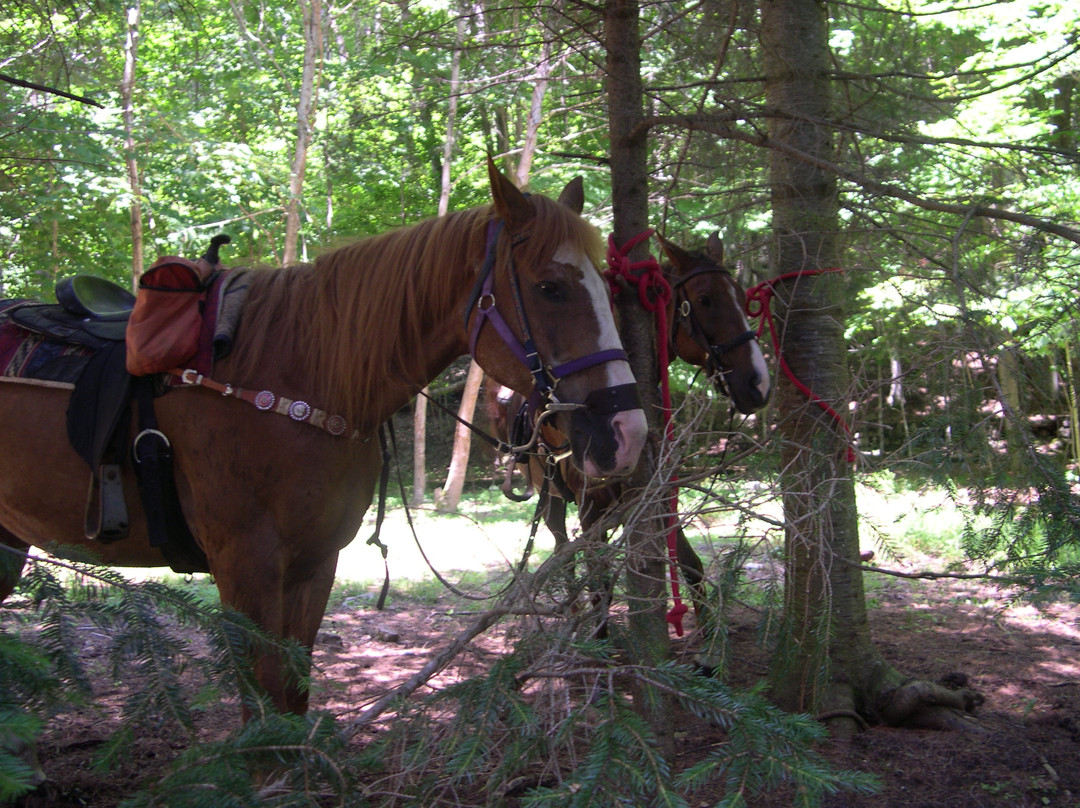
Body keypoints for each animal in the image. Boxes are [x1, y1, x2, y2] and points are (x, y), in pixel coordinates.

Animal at [0, 162, 643, 712]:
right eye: (551, 287)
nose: (626, 432)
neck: (297, 376)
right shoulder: (246, 569)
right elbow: (261, 706)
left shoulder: (315, 564)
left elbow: (293, 689)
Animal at [490, 232, 768, 613]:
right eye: (704, 299)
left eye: (742, 297)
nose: (758, 383)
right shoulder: (591, 510)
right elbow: (600, 588)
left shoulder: (658, 495)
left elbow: (690, 565)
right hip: (552, 497)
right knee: (563, 550)